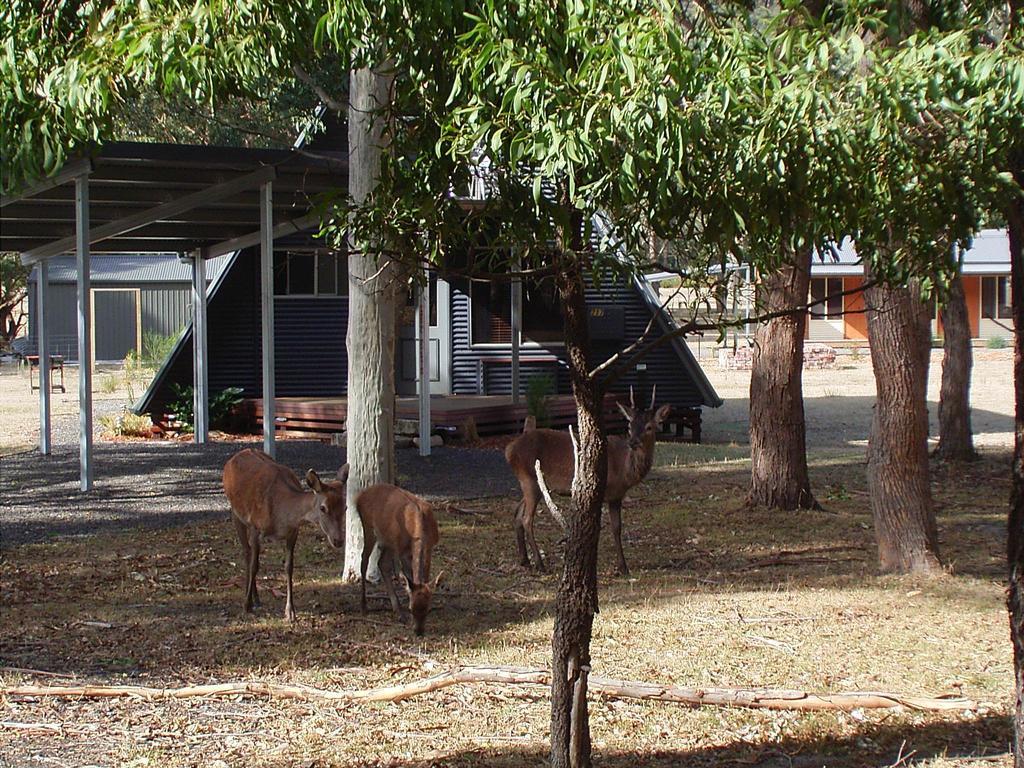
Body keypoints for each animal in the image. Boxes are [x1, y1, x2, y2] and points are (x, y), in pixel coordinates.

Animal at [222, 448, 350, 622]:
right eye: (323, 508)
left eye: (345, 507)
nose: (338, 540)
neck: (281, 515)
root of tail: (234, 457)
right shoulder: (255, 527)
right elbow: (255, 565)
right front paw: (246, 605)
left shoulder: (293, 532)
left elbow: (289, 567)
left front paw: (290, 612)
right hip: (236, 513)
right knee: (247, 553)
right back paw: (251, 599)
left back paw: (257, 599)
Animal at [356, 487, 444, 638]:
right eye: (411, 609)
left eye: (428, 609)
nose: (419, 632)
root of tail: (360, 496)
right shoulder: (402, 550)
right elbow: (410, 576)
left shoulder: (430, 546)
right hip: (369, 528)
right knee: (364, 560)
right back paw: (364, 607)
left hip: (388, 540)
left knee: (382, 563)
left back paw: (396, 609)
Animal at [505, 391, 671, 577]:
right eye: (630, 426)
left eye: (649, 427)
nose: (633, 442)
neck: (624, 470)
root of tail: (509, 450)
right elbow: (597, 528)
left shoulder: (616, 496)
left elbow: (617, 528)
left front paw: (623, 567)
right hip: (530, 479)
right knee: (526, 519)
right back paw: (540, 564)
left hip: (531, 483)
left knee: (517, 513)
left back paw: (525, 560)